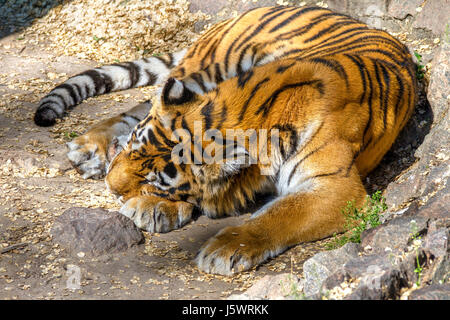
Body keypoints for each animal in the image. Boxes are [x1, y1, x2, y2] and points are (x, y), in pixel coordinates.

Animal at [33, 5, 416, 276]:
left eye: (157, 180)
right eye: (133, 147)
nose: (111, 188)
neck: (255, 114)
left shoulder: (335, 187)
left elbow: (280, 214)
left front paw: (225, 248)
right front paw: (152, 205)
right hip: (204, 68)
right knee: (139, 104)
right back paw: (89, 150)